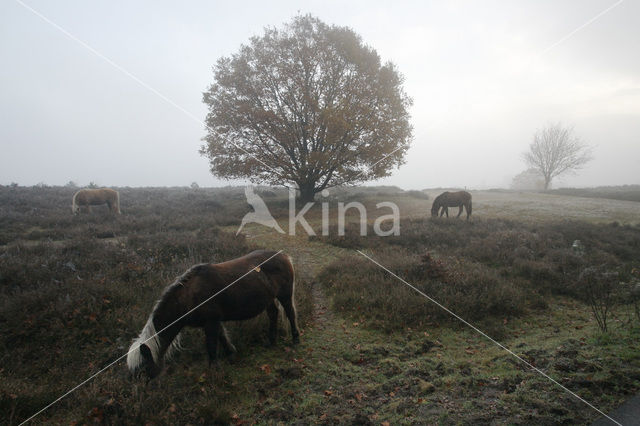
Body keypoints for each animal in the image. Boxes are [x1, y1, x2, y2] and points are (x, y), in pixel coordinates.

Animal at [129, 248, 302, 378]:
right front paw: (230, 354)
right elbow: (222, 336)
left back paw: (295, 339)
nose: (143, 389)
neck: (188, 297)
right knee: (273, 314)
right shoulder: (213, 321)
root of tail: (283, 255)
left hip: (285, 295)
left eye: (143, 367)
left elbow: (211, 345)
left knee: (291, 314)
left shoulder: (211, 322)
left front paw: (214, 371)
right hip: (269, 299)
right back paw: (271, 341)